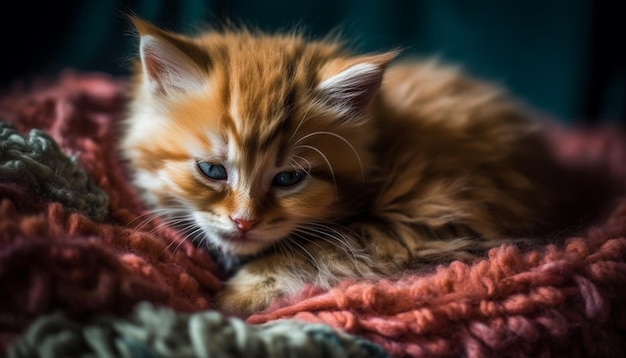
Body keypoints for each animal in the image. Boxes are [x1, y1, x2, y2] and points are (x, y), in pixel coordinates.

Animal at [119, 17, 568, 314]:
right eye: (213, 171)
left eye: (288, 178)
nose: (244, 222)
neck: (387, 142)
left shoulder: (432, 221)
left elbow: (314, 253)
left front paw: (236, 295)